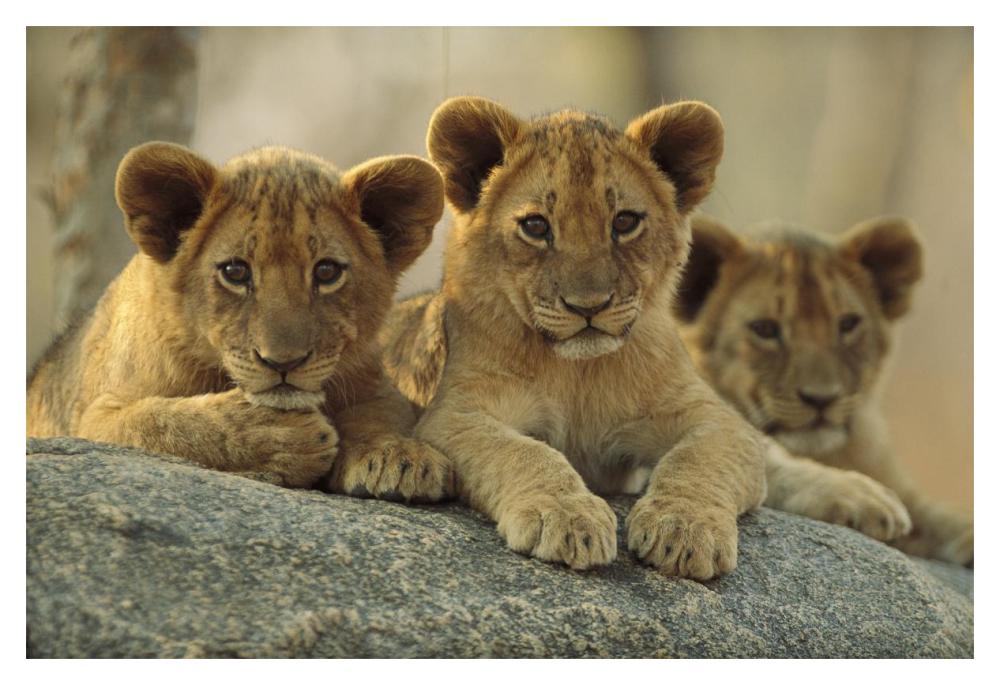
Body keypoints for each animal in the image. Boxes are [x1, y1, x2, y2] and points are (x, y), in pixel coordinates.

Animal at [28, 142, 453, 498]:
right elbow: (163, 423)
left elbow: (380, 415)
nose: (283, 362)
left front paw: (397, 456)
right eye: (235, 271)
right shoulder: (97, 418)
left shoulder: (377, 386)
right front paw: (280, 437)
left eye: (327, 271)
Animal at [378, 96, 774, 580]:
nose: (588, 307)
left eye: (625, 222)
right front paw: (567, 517)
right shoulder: (454, 414)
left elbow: (697, 459)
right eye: (535, 226)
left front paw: (683, 526)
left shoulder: (719, 420)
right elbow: (524, 452)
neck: (577, 374)